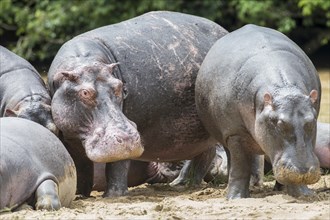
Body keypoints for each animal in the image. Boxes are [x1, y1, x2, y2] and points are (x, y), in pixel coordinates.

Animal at [47, 10, 228, 197]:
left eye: (120, 86)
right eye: (85, 93)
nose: (128, 137)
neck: (83, 62)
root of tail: (224, 31)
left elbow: (117, 164)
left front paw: (113, 196)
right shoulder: (71, 138)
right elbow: (80, 167)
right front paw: (80, 195)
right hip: (201, 134)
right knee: (205, 153)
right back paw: (182, 184)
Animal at [196, 24, 322, 199]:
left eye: (311, 121)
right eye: (279, 123)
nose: (303, 172)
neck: (284, 89)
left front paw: (303, 194)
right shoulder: (235, 134)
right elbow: (240, 166)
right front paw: (236, 198)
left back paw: (280, 189)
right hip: (227, 136)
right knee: (233, 161)